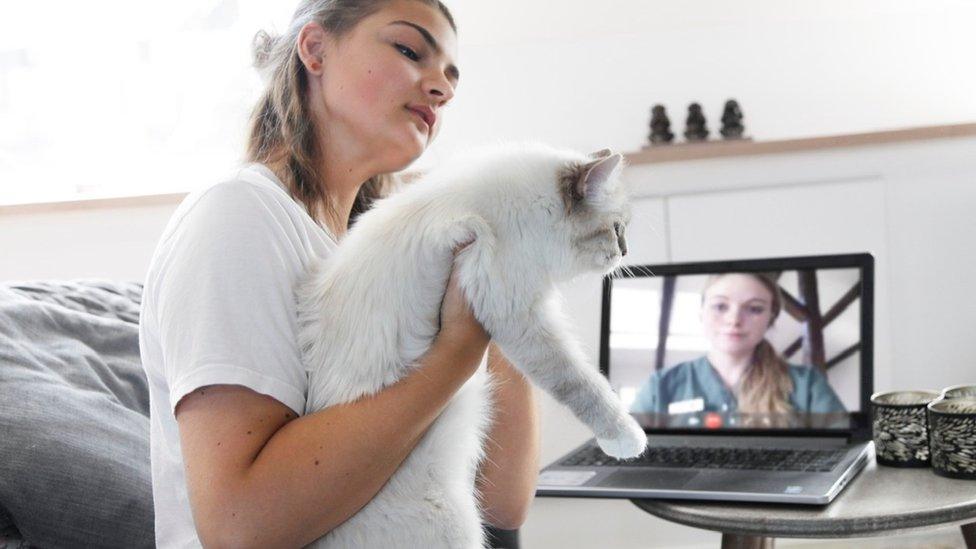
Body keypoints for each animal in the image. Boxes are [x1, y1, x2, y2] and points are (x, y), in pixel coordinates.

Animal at [298, 142, 648, 548]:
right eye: (617, 229)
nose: (625, 253)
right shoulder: (518, 313)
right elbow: (583, 384)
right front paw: (627, 439)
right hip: (458, 523)